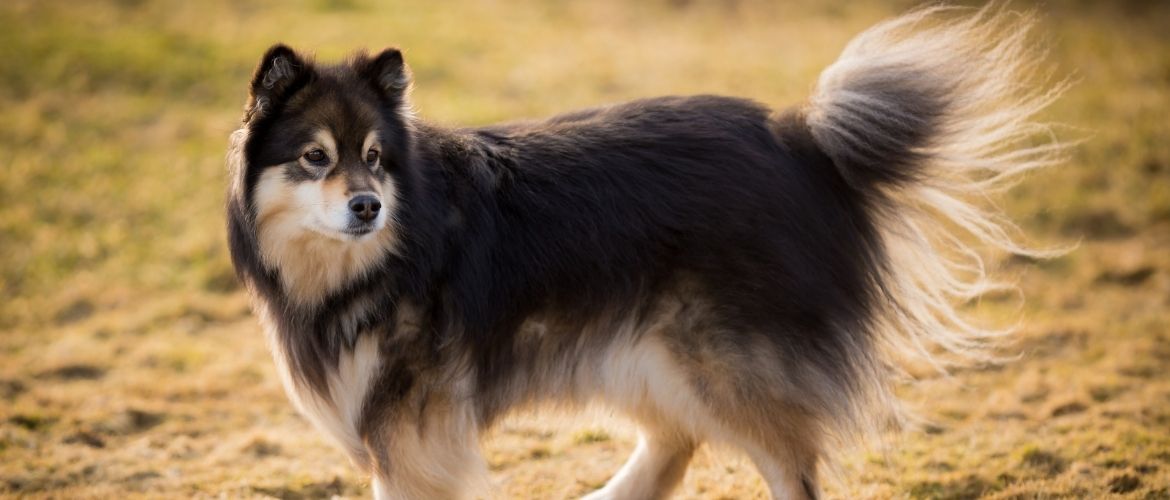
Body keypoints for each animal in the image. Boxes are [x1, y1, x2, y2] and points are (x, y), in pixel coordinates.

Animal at [223, 4, 1067, 500]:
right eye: (316, 159)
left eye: (375, 158)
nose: (367, 206)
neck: (384, 255)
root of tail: (800, 143)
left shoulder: (410, 425)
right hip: (638, 348)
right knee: (674, 439)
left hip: (714, 361)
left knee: (778, 463)